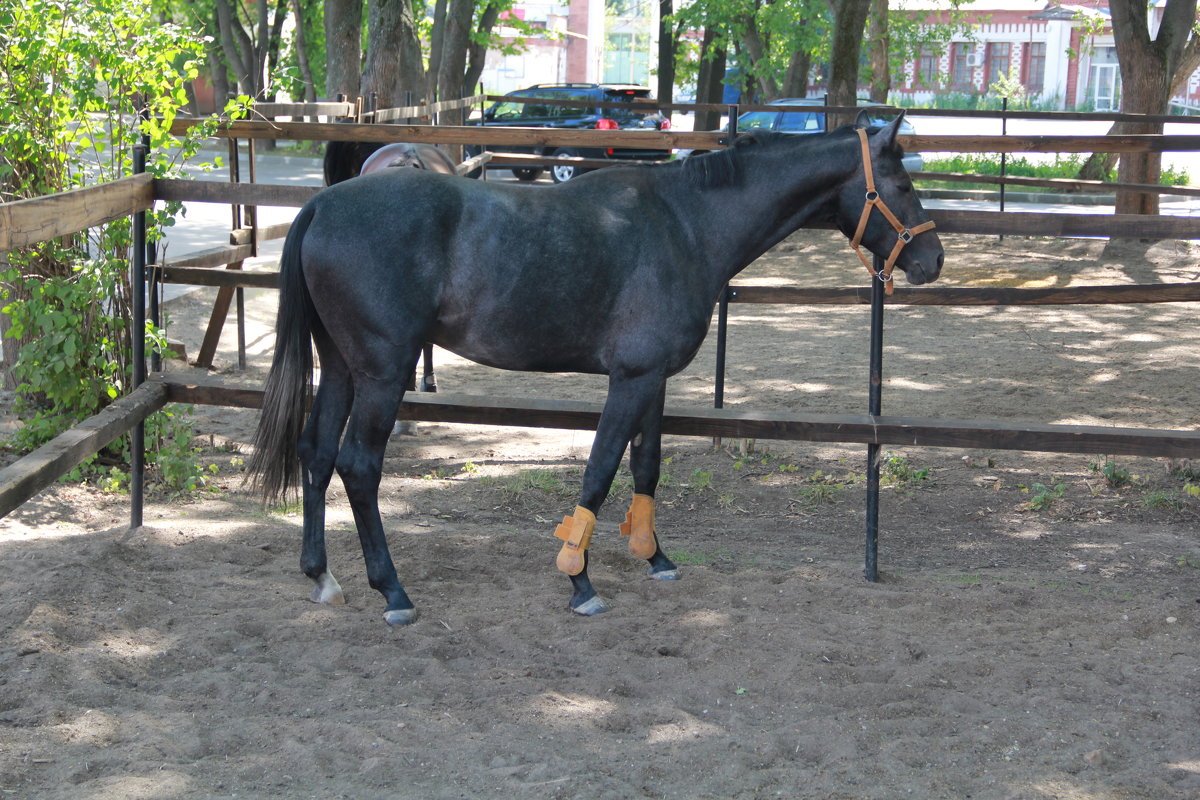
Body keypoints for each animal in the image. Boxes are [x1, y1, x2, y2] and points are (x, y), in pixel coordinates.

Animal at [250, 112, 945, 623]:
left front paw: (655, 557)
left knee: (316, 453)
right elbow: (600, 470)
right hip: (383, 372)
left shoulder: (654, 378)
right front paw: (579, 581)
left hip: (342, 367)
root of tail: (321, 206)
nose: (932, 260)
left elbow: (646, 466)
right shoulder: (630, 378)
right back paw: (393, 591)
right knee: (358, 466)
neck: (685, 223)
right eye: (904, 185)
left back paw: (322, 576)